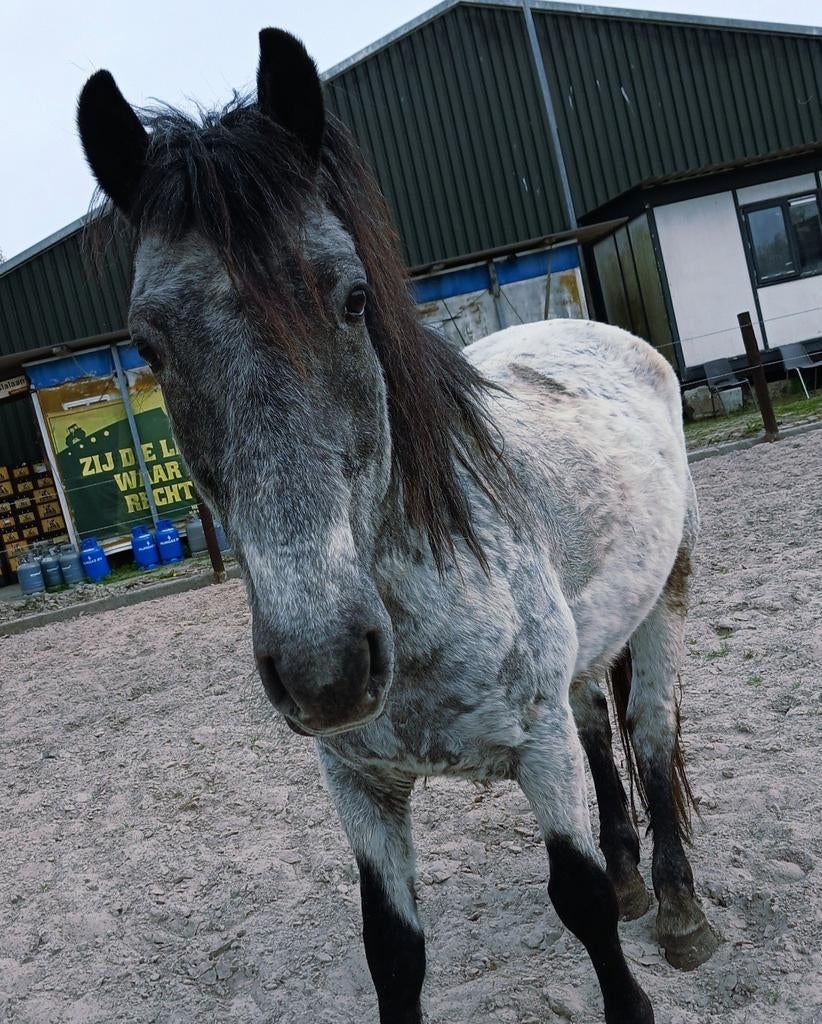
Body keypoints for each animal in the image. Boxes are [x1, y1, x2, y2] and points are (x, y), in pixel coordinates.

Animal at [77, 29, 717, 1023]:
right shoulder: (358, 787)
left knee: (648, 735)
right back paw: (632, 882)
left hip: (664, 601)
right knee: (600, 734)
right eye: (147, 345)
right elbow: (394, 953)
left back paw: (680, 910)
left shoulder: (537, 748)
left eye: (352, 299)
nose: (326, 667)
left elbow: (576, 904)